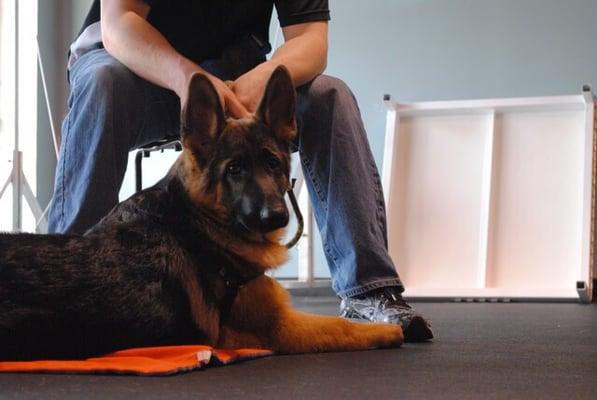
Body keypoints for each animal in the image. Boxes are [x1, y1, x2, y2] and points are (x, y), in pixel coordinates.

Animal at [0, 66, 402, 362]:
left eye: (273, 164)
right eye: (234, 170)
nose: (276, 217)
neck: (196, 225)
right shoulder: (281, 329)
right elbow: (341, 327)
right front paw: (388, 330)